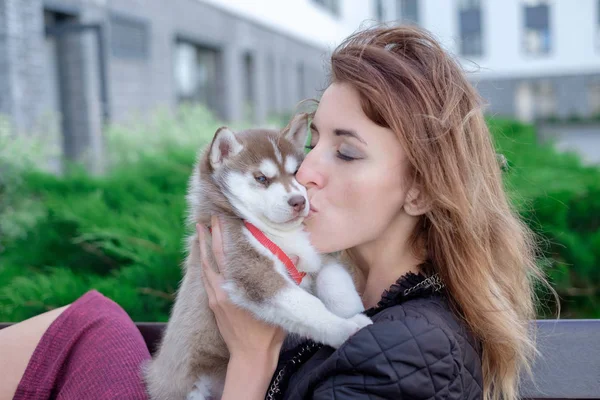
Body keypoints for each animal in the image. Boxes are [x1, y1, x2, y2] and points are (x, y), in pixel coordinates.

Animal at [145, 114, 370, 398]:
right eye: (261, 178)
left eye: (296, 172)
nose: (299, 201)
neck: (276, 232)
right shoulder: (249, 267)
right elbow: (307, 305)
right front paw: (344, 328)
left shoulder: (319, 253)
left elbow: (335, 280)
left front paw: (351, 311)